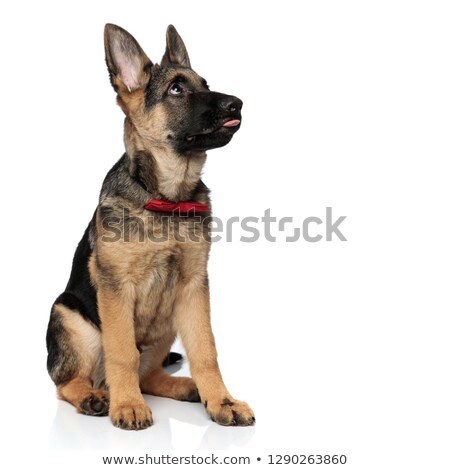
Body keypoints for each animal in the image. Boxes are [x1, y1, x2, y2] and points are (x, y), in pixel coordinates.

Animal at [48, 24, 256, 430]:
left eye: (205, 84)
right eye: (176, 89)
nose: (237, 104)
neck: (167, 199)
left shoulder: (193, 287)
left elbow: (206, 349)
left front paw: (221, 400)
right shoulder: (115, 288)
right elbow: (122, 352)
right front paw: (128, 405)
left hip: (167, 323)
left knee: (149, 375)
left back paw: (186, 388)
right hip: (70, 317)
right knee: (68, 382)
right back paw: (96, 397)